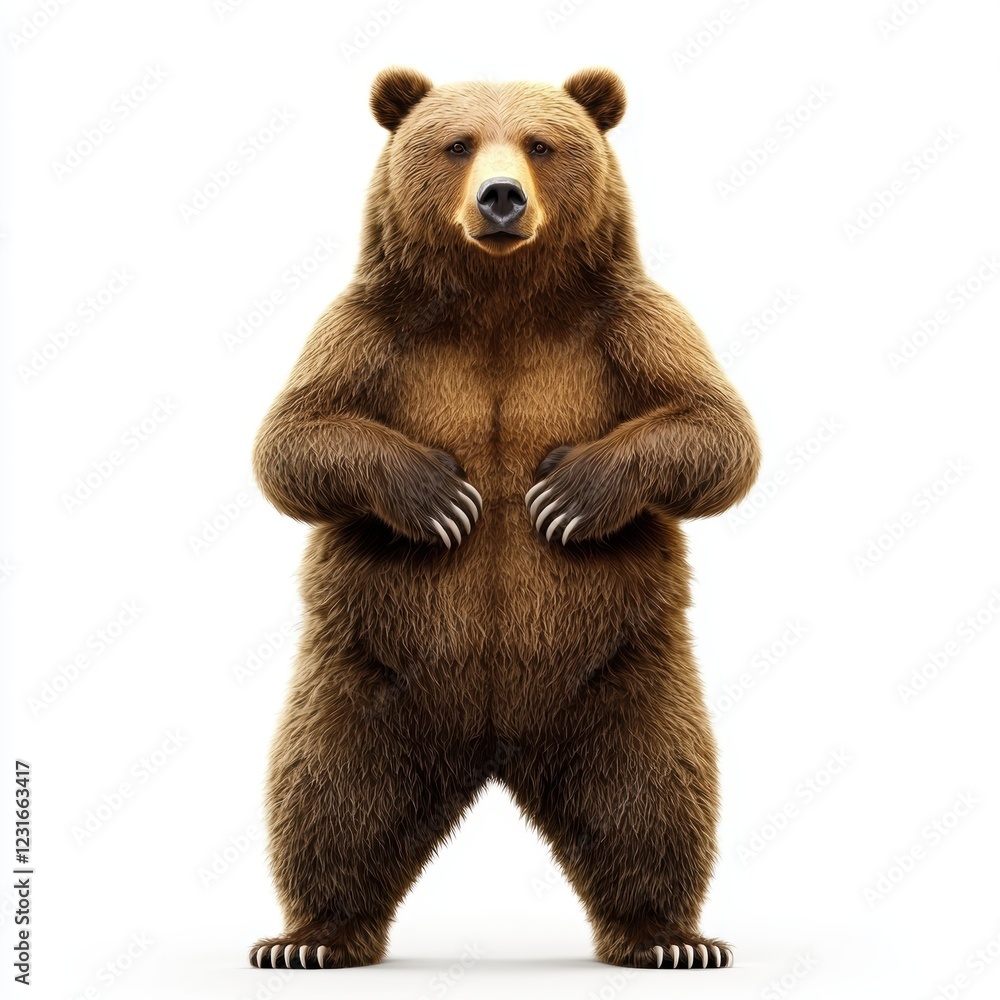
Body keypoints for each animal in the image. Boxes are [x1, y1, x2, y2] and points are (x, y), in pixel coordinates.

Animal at [248, 66, 761, 972]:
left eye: (541, 144)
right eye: (457, 143)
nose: (500, 198)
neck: (499, 301)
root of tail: (493, 745)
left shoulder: (628, 322)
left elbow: (714, 428)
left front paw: (563, 494)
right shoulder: (369, 330)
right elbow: (297, 440)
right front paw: (443, 497)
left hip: (624, 670)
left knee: (655, 790)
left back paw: (669, 937)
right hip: (366, 672)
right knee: (329, 790)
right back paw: (310, 938)